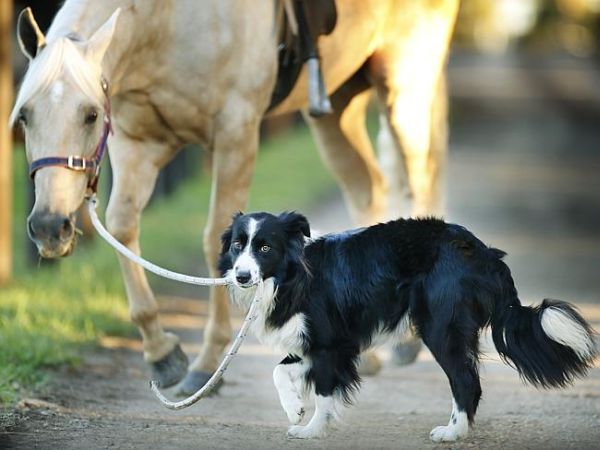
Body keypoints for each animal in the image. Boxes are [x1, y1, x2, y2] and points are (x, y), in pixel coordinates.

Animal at [12, 0, 454, 402]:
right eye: (24, 116)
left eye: (89, 115)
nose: (49, 226)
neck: (167, 20)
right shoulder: (137, 142)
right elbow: (122, 228)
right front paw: (162, 354)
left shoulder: (235, 135)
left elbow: (217, 242)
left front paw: (207, 367)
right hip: (336, 105)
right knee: (368, 187)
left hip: (405, 83)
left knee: (419, 182)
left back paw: (406, 342)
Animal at [217, 213, 596, 442]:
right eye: (237, 245)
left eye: (265, 247)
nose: (241, 276)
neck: (291, 276)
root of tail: (483, 252)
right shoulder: (319, 343)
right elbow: (279, 371)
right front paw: (294, 408)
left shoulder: (329, 343)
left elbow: (324, 392)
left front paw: (312, 430)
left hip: (440, 326)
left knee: (465, 381)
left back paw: (452, 433)